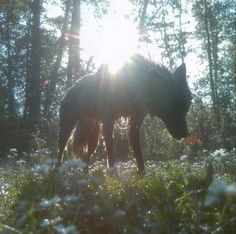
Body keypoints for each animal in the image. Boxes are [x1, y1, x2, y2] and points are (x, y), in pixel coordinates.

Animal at [58, 54, 192, 173]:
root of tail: (68, 91)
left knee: (85, 158)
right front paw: (114, 178)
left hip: (94, 138)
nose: (186, 134)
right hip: (67, 131)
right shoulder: (108, 122)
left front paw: (143, 176)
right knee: (60, 153)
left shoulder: (134, 125)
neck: (130, 85)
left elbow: (139, 157)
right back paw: (57, 174)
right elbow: (111, 156)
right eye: (172, 110)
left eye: (186, 109)